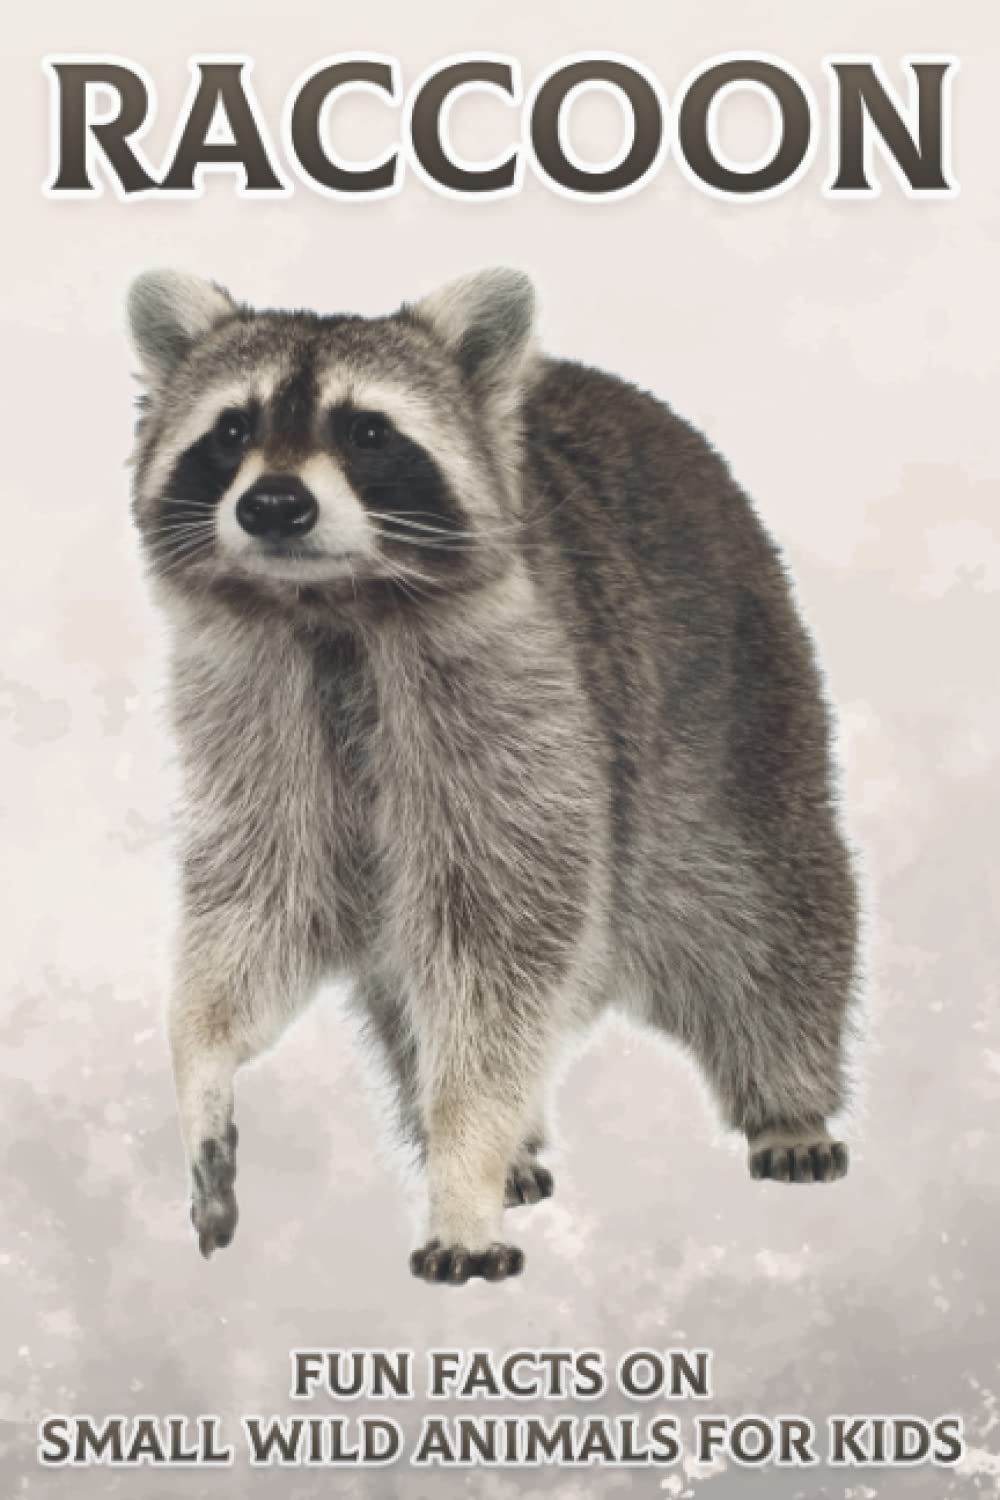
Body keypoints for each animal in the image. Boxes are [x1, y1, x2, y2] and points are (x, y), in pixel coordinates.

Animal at [126, 267, 858, 1285]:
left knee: (771, 910)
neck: (329, 609)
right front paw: (202, 1063)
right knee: (404, 987)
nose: (272, 506)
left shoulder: (520, 691)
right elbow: (262, 905)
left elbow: (499, 947)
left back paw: (789, 1098)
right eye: (233, 429)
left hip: (741, 694)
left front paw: (465, 1163)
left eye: (368, 431)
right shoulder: (253, 704)